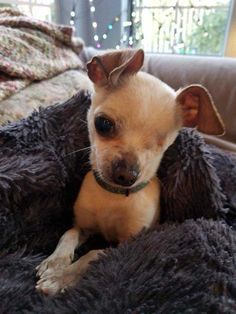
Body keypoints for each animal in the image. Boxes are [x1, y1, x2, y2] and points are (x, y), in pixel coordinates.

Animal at [35, 48, 225, 294]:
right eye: (103, 124)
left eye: (161, 144)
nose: (126, 176)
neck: (112, 196)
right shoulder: (83, 226)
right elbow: (69, 233)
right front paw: (55, 262)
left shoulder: (126, 243)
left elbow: (92, 254)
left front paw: (62, 278)